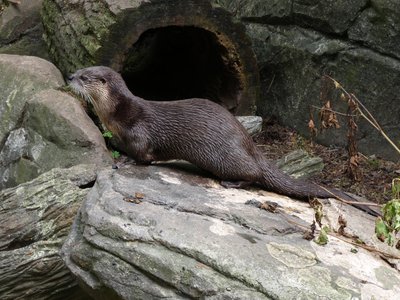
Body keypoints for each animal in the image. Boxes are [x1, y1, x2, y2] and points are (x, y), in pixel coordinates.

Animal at [68, 67, 378, 214]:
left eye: (85, 76)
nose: (70, 76)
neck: (118, 114)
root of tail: (251, 146)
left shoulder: (139, 132)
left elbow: (143, 156)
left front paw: (124, 163)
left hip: (225, 156)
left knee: (253, 174)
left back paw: (232, 182)